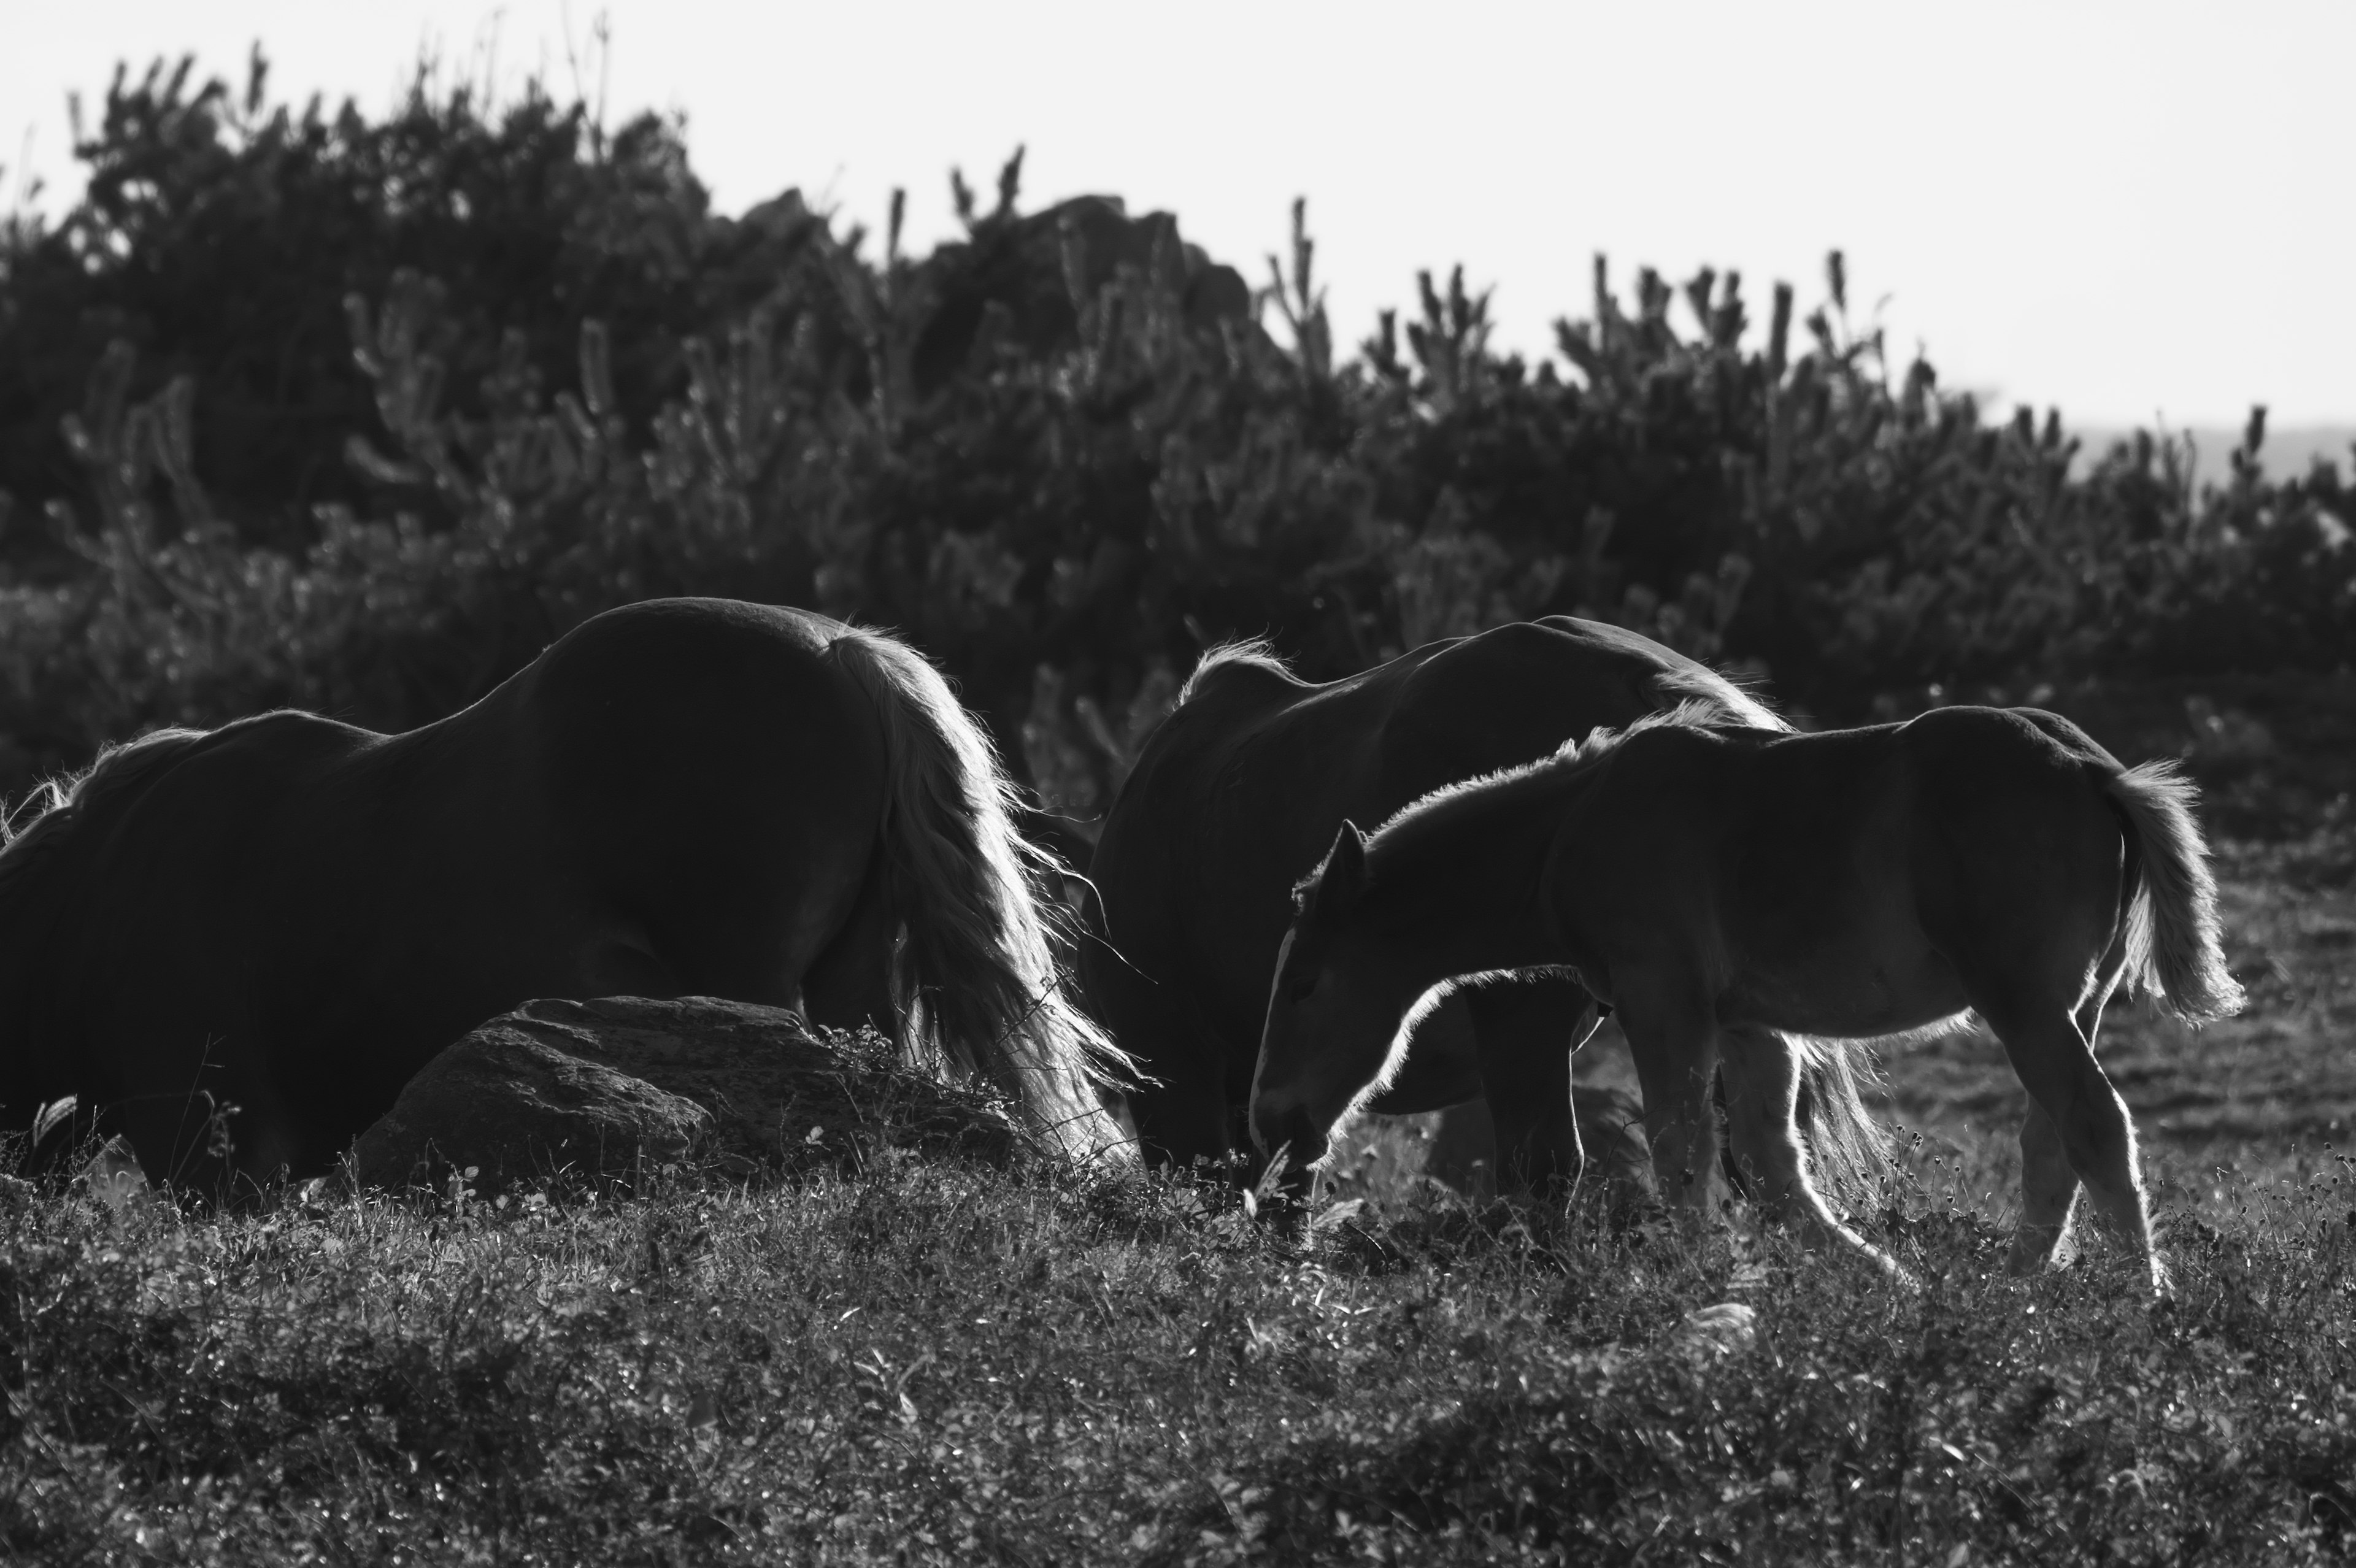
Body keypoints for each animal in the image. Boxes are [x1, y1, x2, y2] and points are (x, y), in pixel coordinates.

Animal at [1253, 701, 2242, 1290]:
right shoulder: (1751, 1027)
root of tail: (2094, 770)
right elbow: (1774, 1171)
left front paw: (1695, 1285)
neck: (1571, 828)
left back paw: (2138, 1299)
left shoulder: (1664, 1005)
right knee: (2052, 1142)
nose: (1271, 1120)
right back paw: (2013, 1292)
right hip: (2073, 1008)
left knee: (2092, 1125)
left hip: (2026, 1006)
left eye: (1302, 984)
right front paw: (1885, 1285)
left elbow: (1683, 1152)